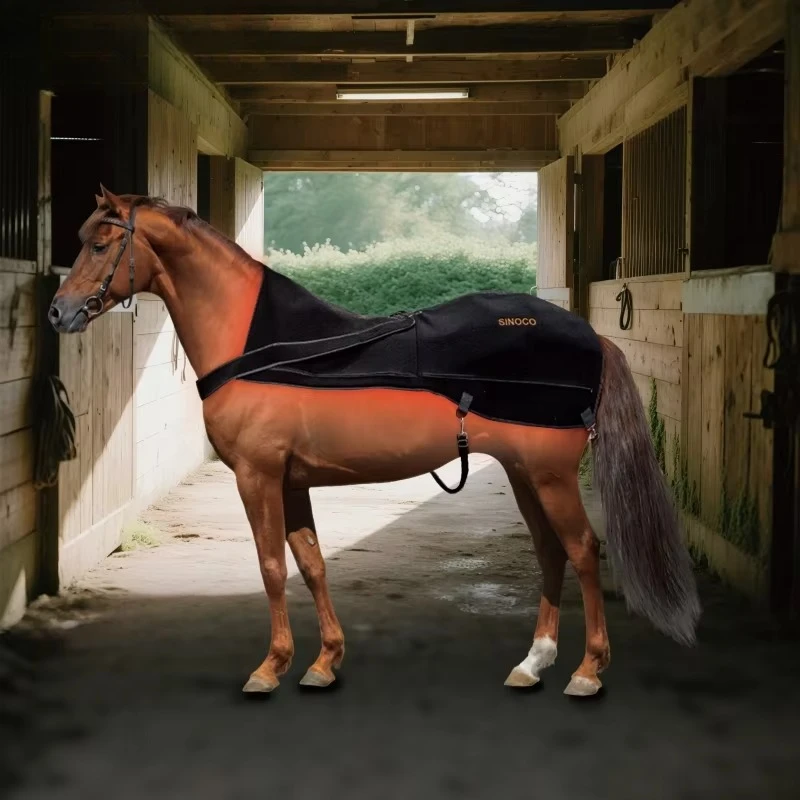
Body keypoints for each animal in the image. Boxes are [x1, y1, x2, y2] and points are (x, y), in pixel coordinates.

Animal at [49, 186, 700, 698]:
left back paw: (587, 671)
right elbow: (310, 564)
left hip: (550, 475)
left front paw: (270, 668)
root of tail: (591, 336)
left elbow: (269, 566)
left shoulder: (258, 476)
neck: (262, 343)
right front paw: (323, 661)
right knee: (550, 551)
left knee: (584, 550)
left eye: (100, 245)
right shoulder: (291, 481)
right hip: (525, 473)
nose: (59, 312)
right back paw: (533, 663)